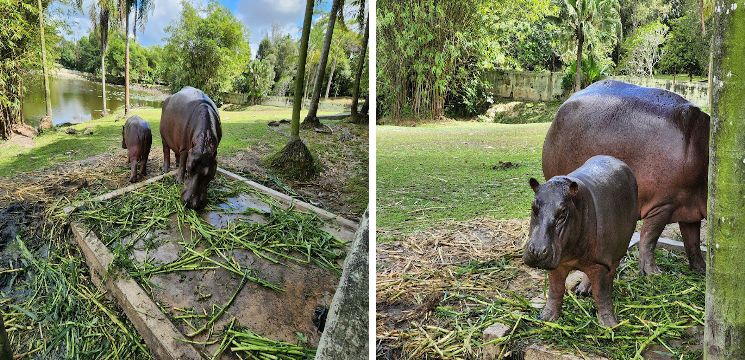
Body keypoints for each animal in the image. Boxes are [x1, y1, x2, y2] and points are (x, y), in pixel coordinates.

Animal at [524, 155, 640, 326]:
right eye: (533, 207)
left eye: (563, 212)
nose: (537, 251)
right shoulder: (557, 264)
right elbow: (555, 290)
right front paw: (546, 317)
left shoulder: (600, 264)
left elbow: (601, 294)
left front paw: (609, 324)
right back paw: (582, 291)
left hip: (618, 249)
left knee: (611, 273)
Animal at [544, 79, 708, 276]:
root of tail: (565, 103)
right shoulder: (663, 205)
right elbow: (649, 237)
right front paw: (653, 273)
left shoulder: (690, 207)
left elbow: (693, 241)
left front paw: (702, 269)